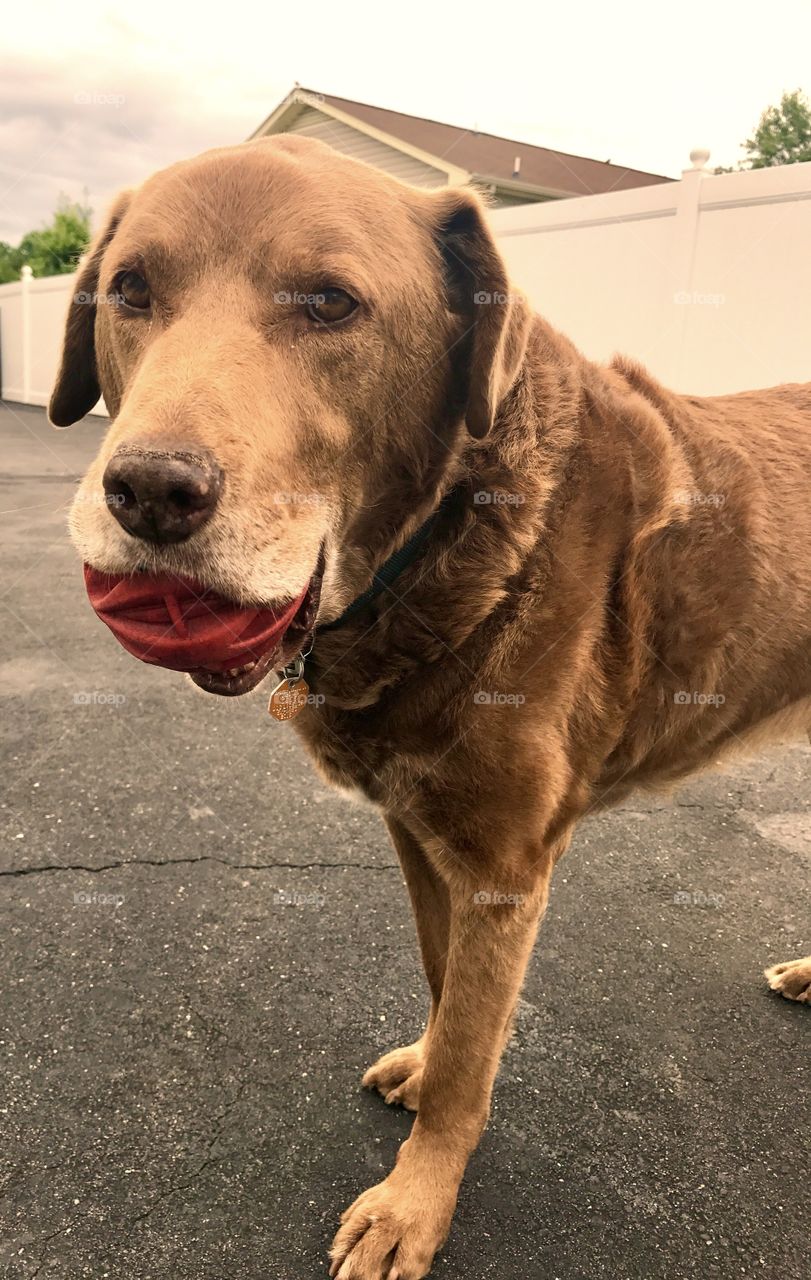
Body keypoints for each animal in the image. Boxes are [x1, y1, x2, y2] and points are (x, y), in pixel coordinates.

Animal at [50, 135, 808, 1274]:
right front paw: (424, 1067)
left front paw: (413, 1204)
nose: (147, 492)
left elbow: (468, 1055)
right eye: (131, 289)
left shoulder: (504, 866)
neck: (448, 544)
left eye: (331, 303)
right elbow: (447, 991)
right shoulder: (419, 835)